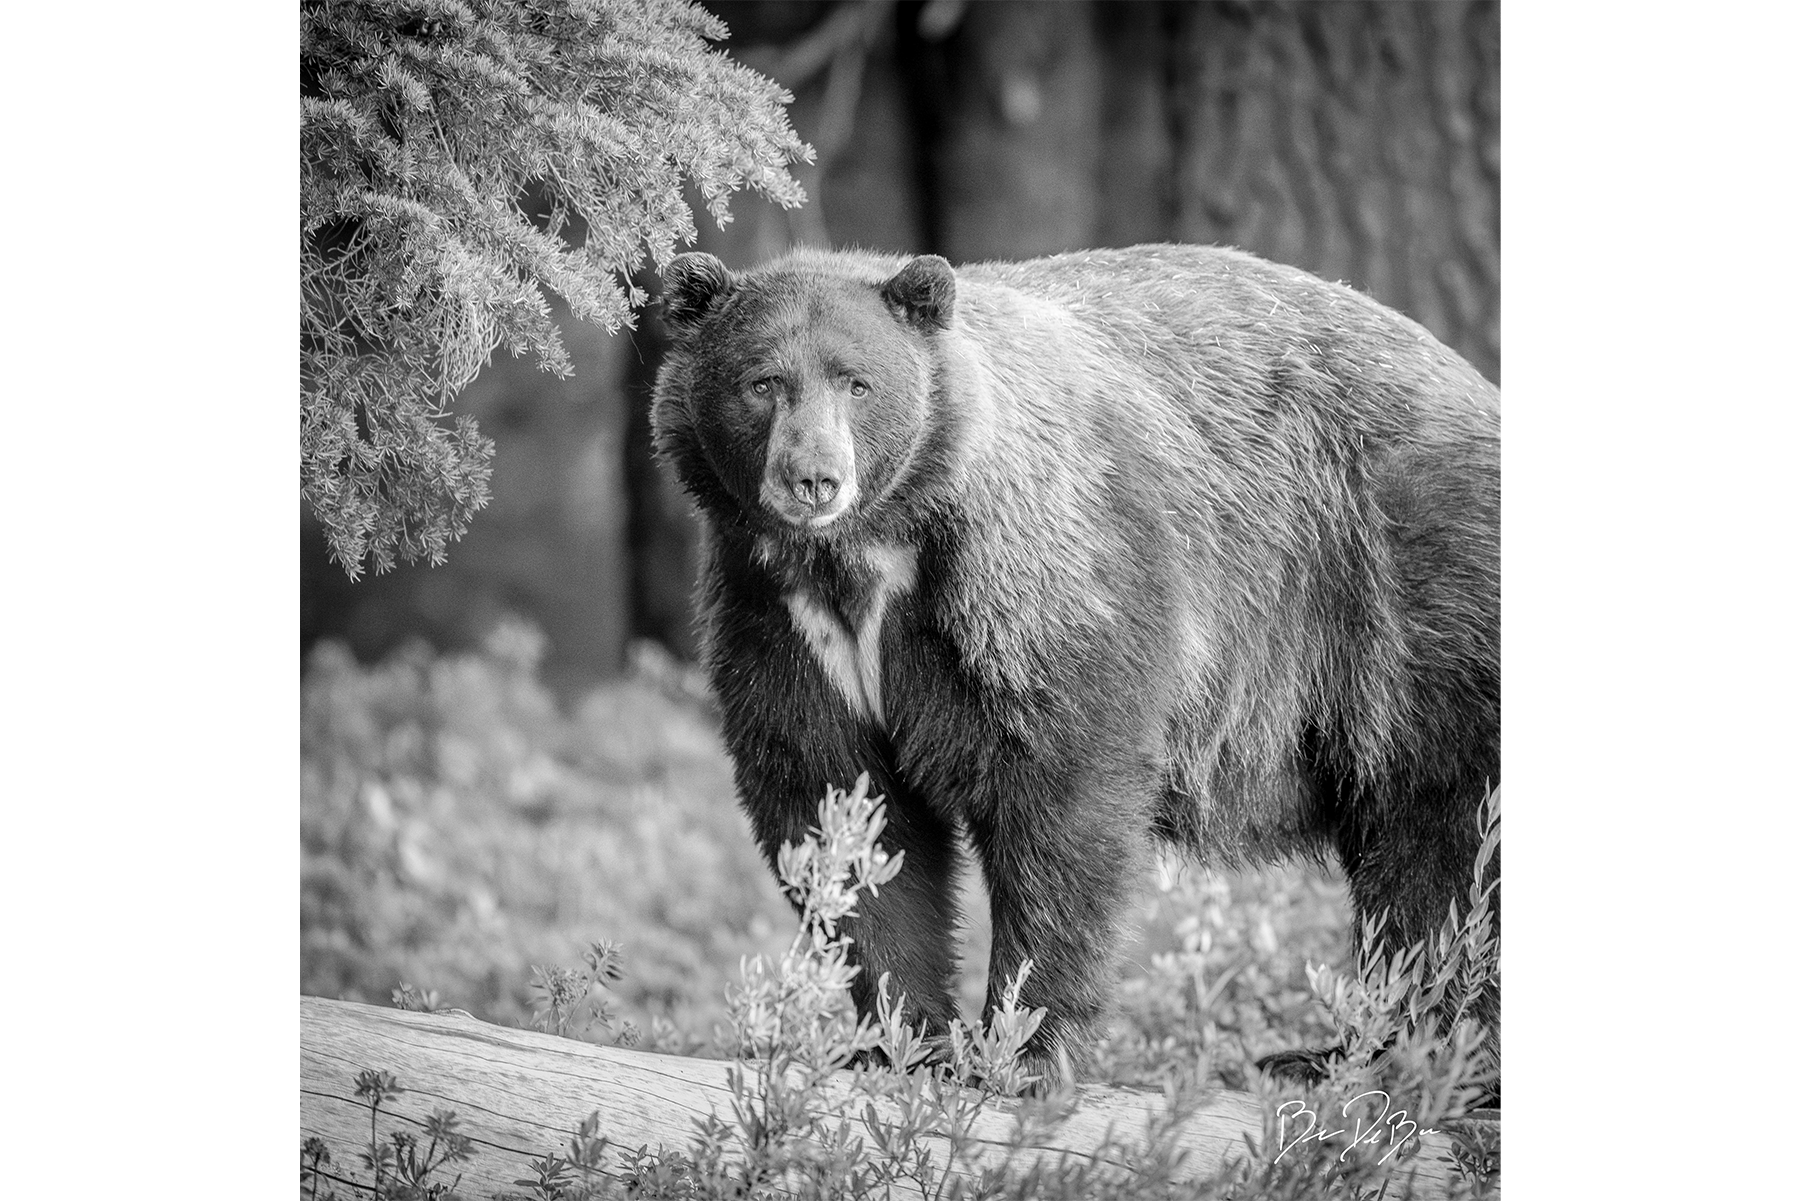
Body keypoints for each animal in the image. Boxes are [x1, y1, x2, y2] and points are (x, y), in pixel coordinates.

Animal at [650, 242, 1502, 1094]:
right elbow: (842, 807)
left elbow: (1063, 793)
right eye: (762, 381)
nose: (814, 477)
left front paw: (1023, 1045)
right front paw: (901, 1041)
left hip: (1404, 598)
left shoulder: (1037, 578)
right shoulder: (778, 613)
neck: (868, 552)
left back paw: (1407, 1050)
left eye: (856, 381)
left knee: (1442, 844)